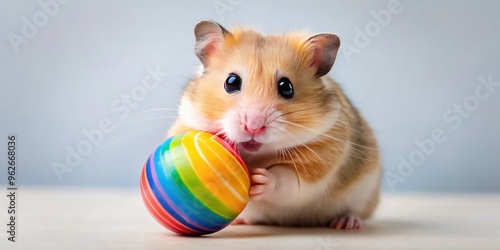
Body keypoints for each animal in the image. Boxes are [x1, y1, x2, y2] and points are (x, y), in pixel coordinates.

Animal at [166, 20, 380, 230]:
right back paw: (241, 221)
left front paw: (259, 180)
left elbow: (287, 181)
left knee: (354, 212)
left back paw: (346, 223)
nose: (253, 127)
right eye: (231, 82)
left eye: (286, 87)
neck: (254, 156)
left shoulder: (319, 163)